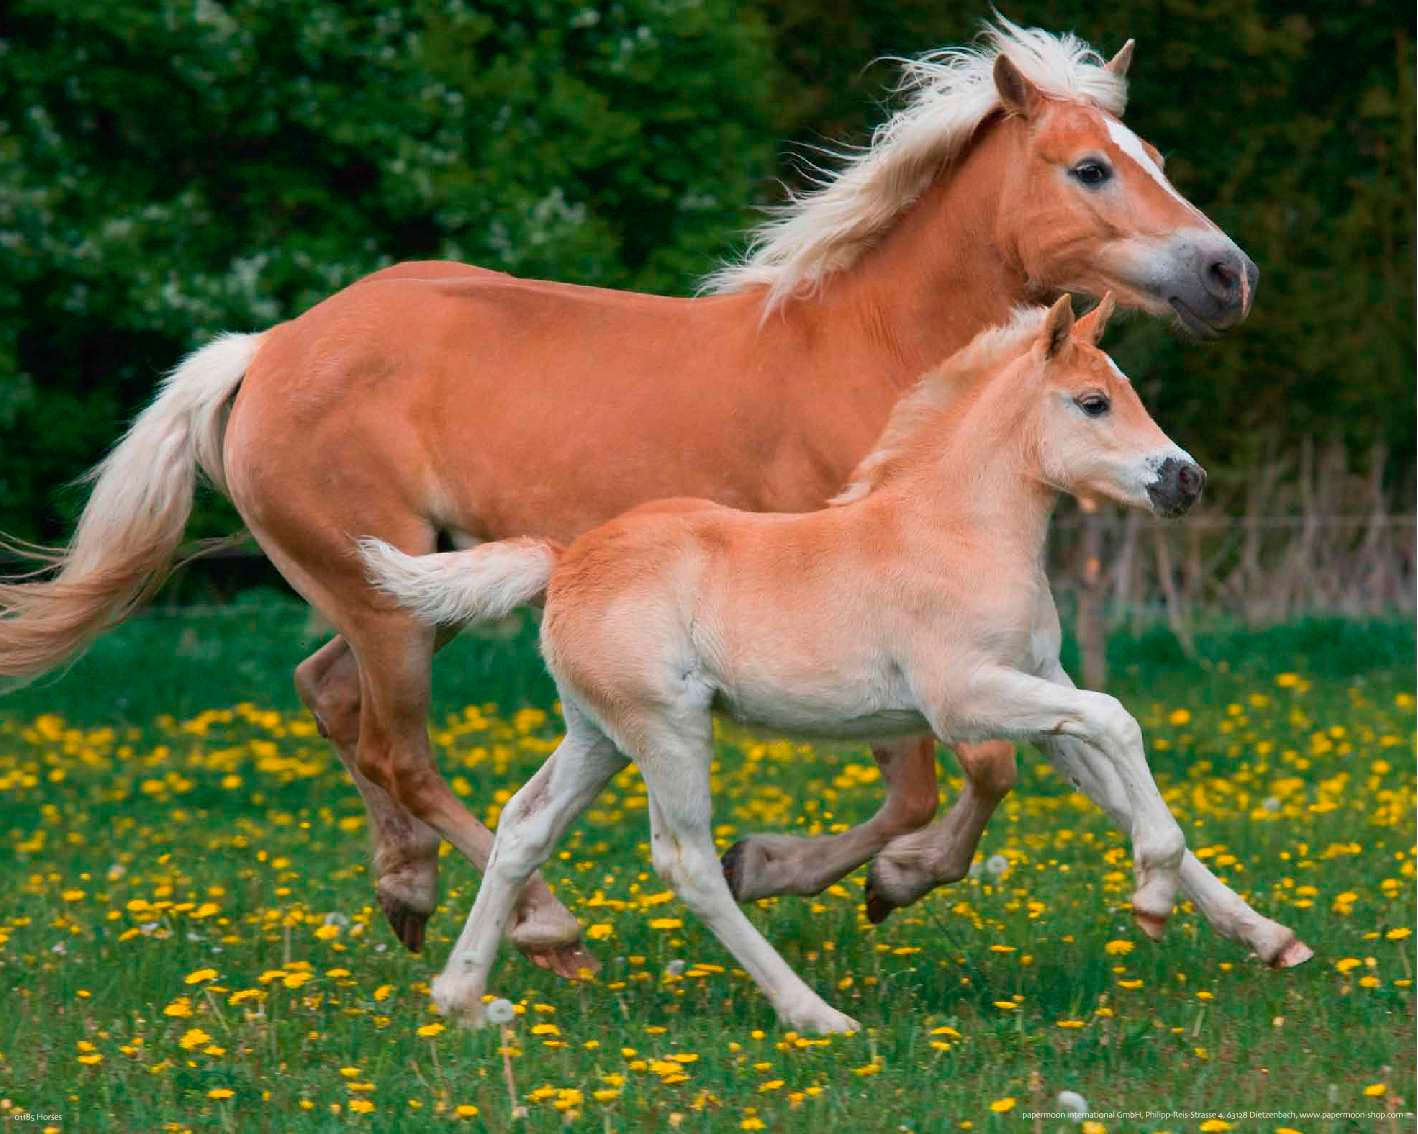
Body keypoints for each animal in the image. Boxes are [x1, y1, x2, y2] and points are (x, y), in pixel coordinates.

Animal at [360, 295, 1290, 1035]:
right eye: (1093, 402)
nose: (1186, 481)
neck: (958, 529)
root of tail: (566, 561)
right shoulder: (966, 700)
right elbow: (1118, 720)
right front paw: (1152, 900)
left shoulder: (1041, 691)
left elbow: (1113, 783)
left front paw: (1266, 936)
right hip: (666, 730)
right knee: (688, 864)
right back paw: (815, 1013)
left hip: (597, 734)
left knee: (524, 826)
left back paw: (464, 1000)